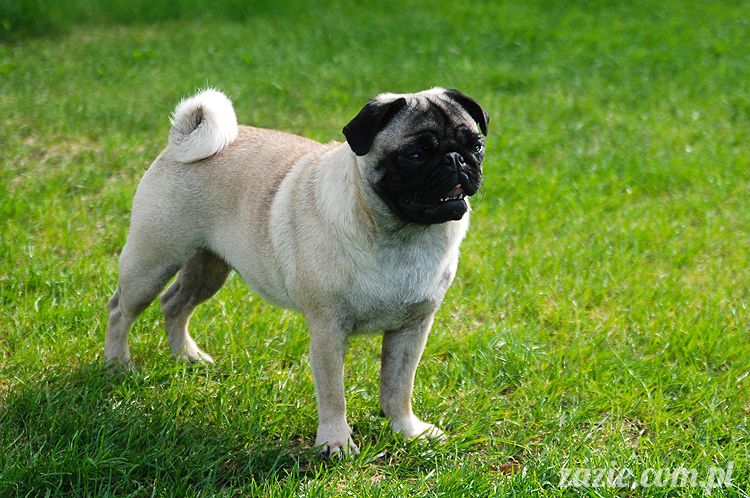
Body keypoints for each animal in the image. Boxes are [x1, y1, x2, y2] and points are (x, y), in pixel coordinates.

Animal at [105, 87, 488, 458]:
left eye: (477, 146)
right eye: (415, 156)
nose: (456, 159)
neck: (403, 236)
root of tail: (180, 141)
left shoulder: (412, 327)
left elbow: (398, 388)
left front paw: (407, 431)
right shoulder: (328, 330)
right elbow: (333, 394)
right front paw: (335, 444)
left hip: (208, 269)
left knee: (175, 304)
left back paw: (187, 356)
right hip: (152, 263)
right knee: (120, 310)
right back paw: (118, 365)